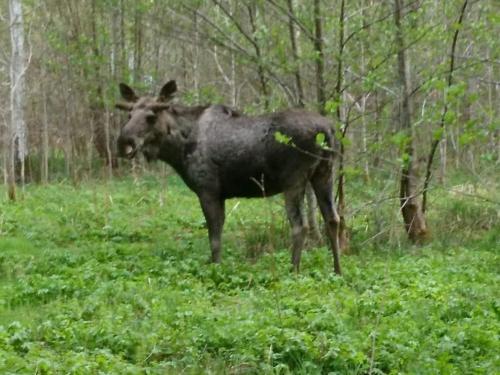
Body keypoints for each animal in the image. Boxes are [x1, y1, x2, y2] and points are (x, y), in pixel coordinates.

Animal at [116, 81, 342, 276]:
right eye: (129, 114)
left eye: (151, 116)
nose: (123, 142)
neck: (178, 150)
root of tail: (328, 129)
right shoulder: (220, 195)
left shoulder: (208, 191)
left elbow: (214, 239)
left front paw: (216, 269)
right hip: (325, 173)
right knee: (333, 219)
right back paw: (337, 271)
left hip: (294, 180)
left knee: (300, 225)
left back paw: (293, 270)